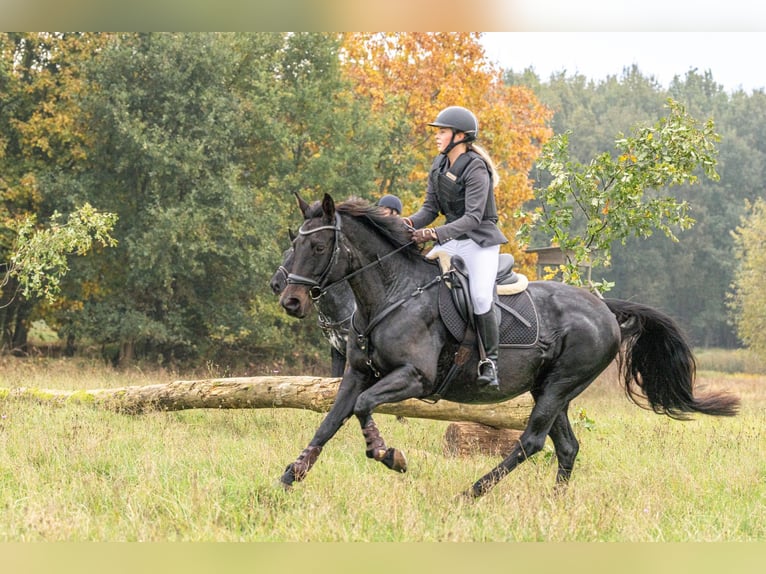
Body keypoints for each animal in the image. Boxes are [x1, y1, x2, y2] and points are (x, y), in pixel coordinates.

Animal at [280, 195, 740, 500]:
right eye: (293, 244)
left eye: (317, 247)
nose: (291, 301)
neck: (393, 293)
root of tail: (605, 308)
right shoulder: (358, 373)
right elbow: (331, 420)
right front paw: (290, 475)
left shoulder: (413, 377)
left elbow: (363, 408)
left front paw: (387, 454)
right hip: (550, 390)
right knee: (566, 445)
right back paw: (555, 504)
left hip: (560, 385)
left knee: (531, 442)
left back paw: (470, 493)